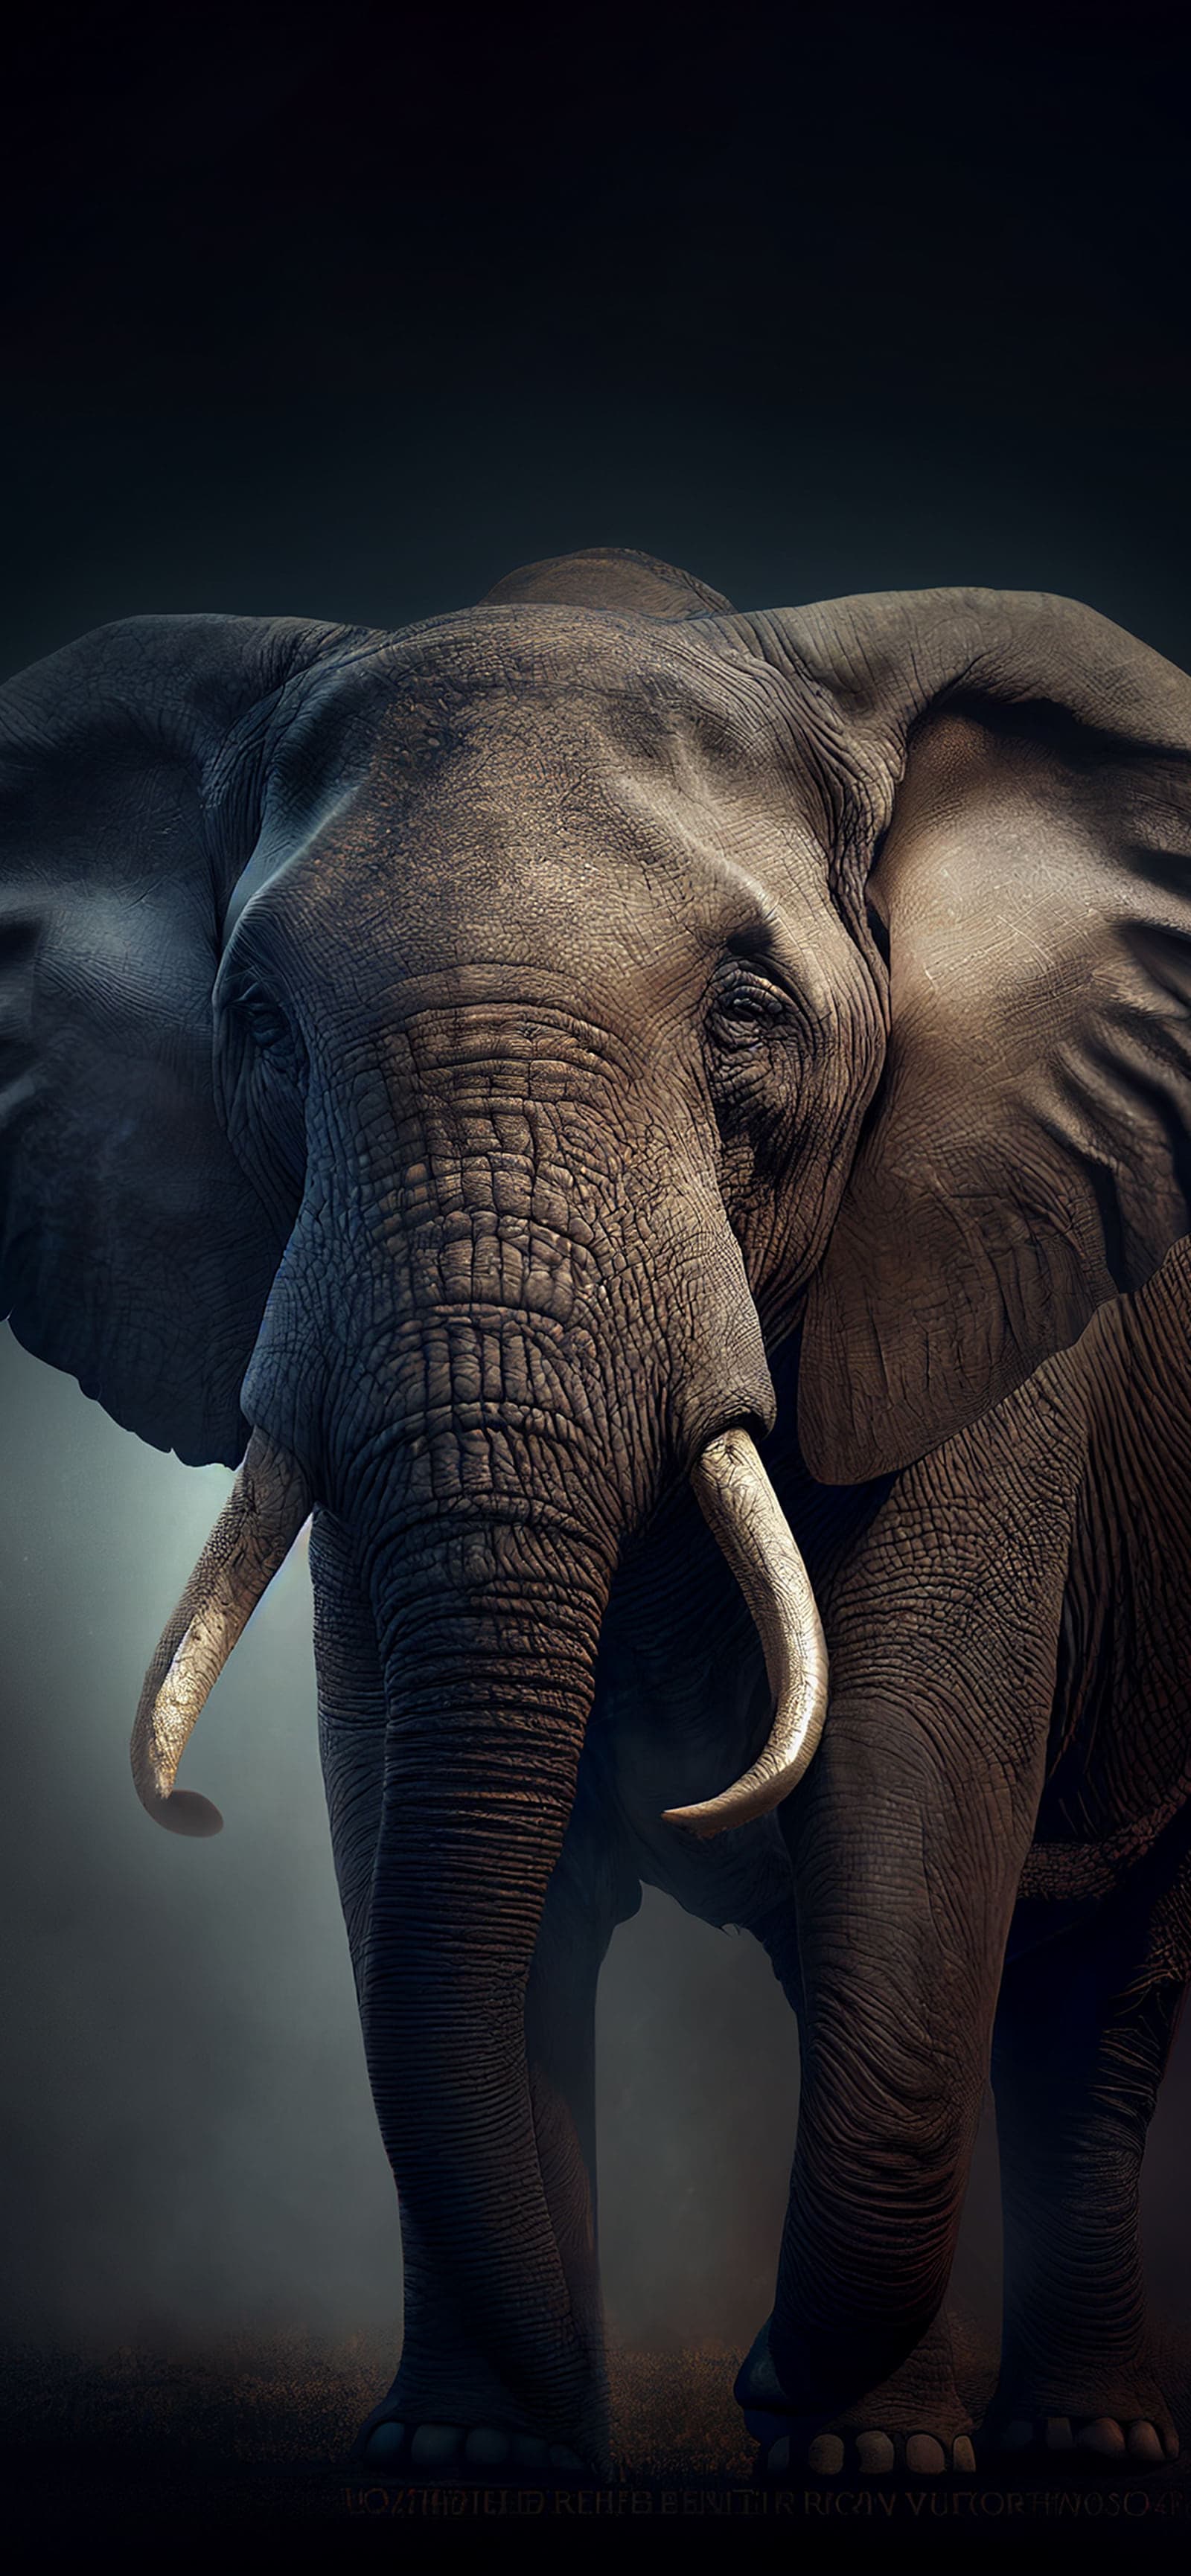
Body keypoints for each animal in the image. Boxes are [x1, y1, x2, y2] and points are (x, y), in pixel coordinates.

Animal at [5, 543, 1191, 2481]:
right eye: (256, 1026)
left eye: (744, 1012)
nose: (741, 2377)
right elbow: (405, 1790)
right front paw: (470, 2454)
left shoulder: (987, 1258)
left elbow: (909, 1771)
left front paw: (846, 2451)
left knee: (1090, 1982)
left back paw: (1059, 2440)